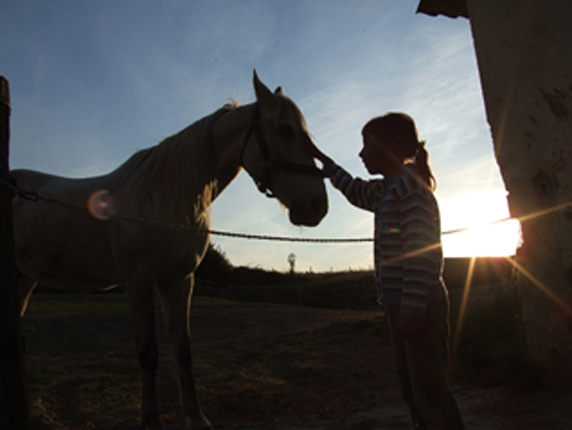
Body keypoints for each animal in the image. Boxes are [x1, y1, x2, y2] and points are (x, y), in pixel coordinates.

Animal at [11, 72, 328, 428]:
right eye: (285, 130)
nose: (318, 206)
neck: (168, 197)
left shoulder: (179, 281)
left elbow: (183, 351)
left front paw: (196, 417)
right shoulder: (138, 282)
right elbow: (148, 354)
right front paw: (151, 419)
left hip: (24, 280)